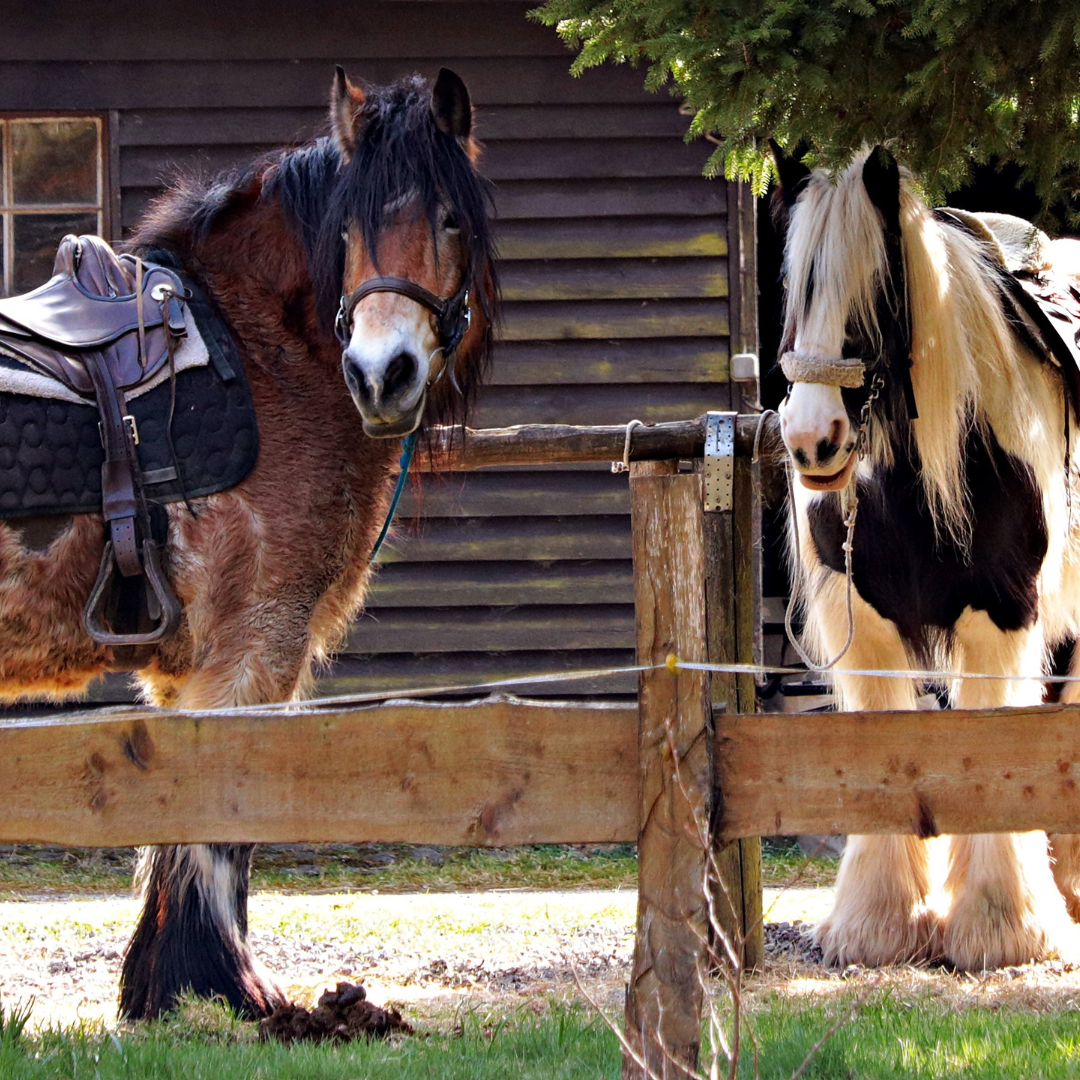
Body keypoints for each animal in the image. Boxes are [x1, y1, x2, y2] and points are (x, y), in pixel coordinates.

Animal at [0, 67, 496, 1018]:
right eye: (349, 228)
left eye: (450, 219)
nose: (382, 375)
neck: (262, 348)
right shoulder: (256, 640)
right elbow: (223, 819)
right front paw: (221, 988)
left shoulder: (188, 665)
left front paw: (160, 988)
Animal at [772, 143, 1080, 970]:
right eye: (792, 289)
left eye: (875, 290)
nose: (811, 440)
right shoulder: (867, 629)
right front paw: (876, 923)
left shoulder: (1000, 619)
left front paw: (1002, 926)